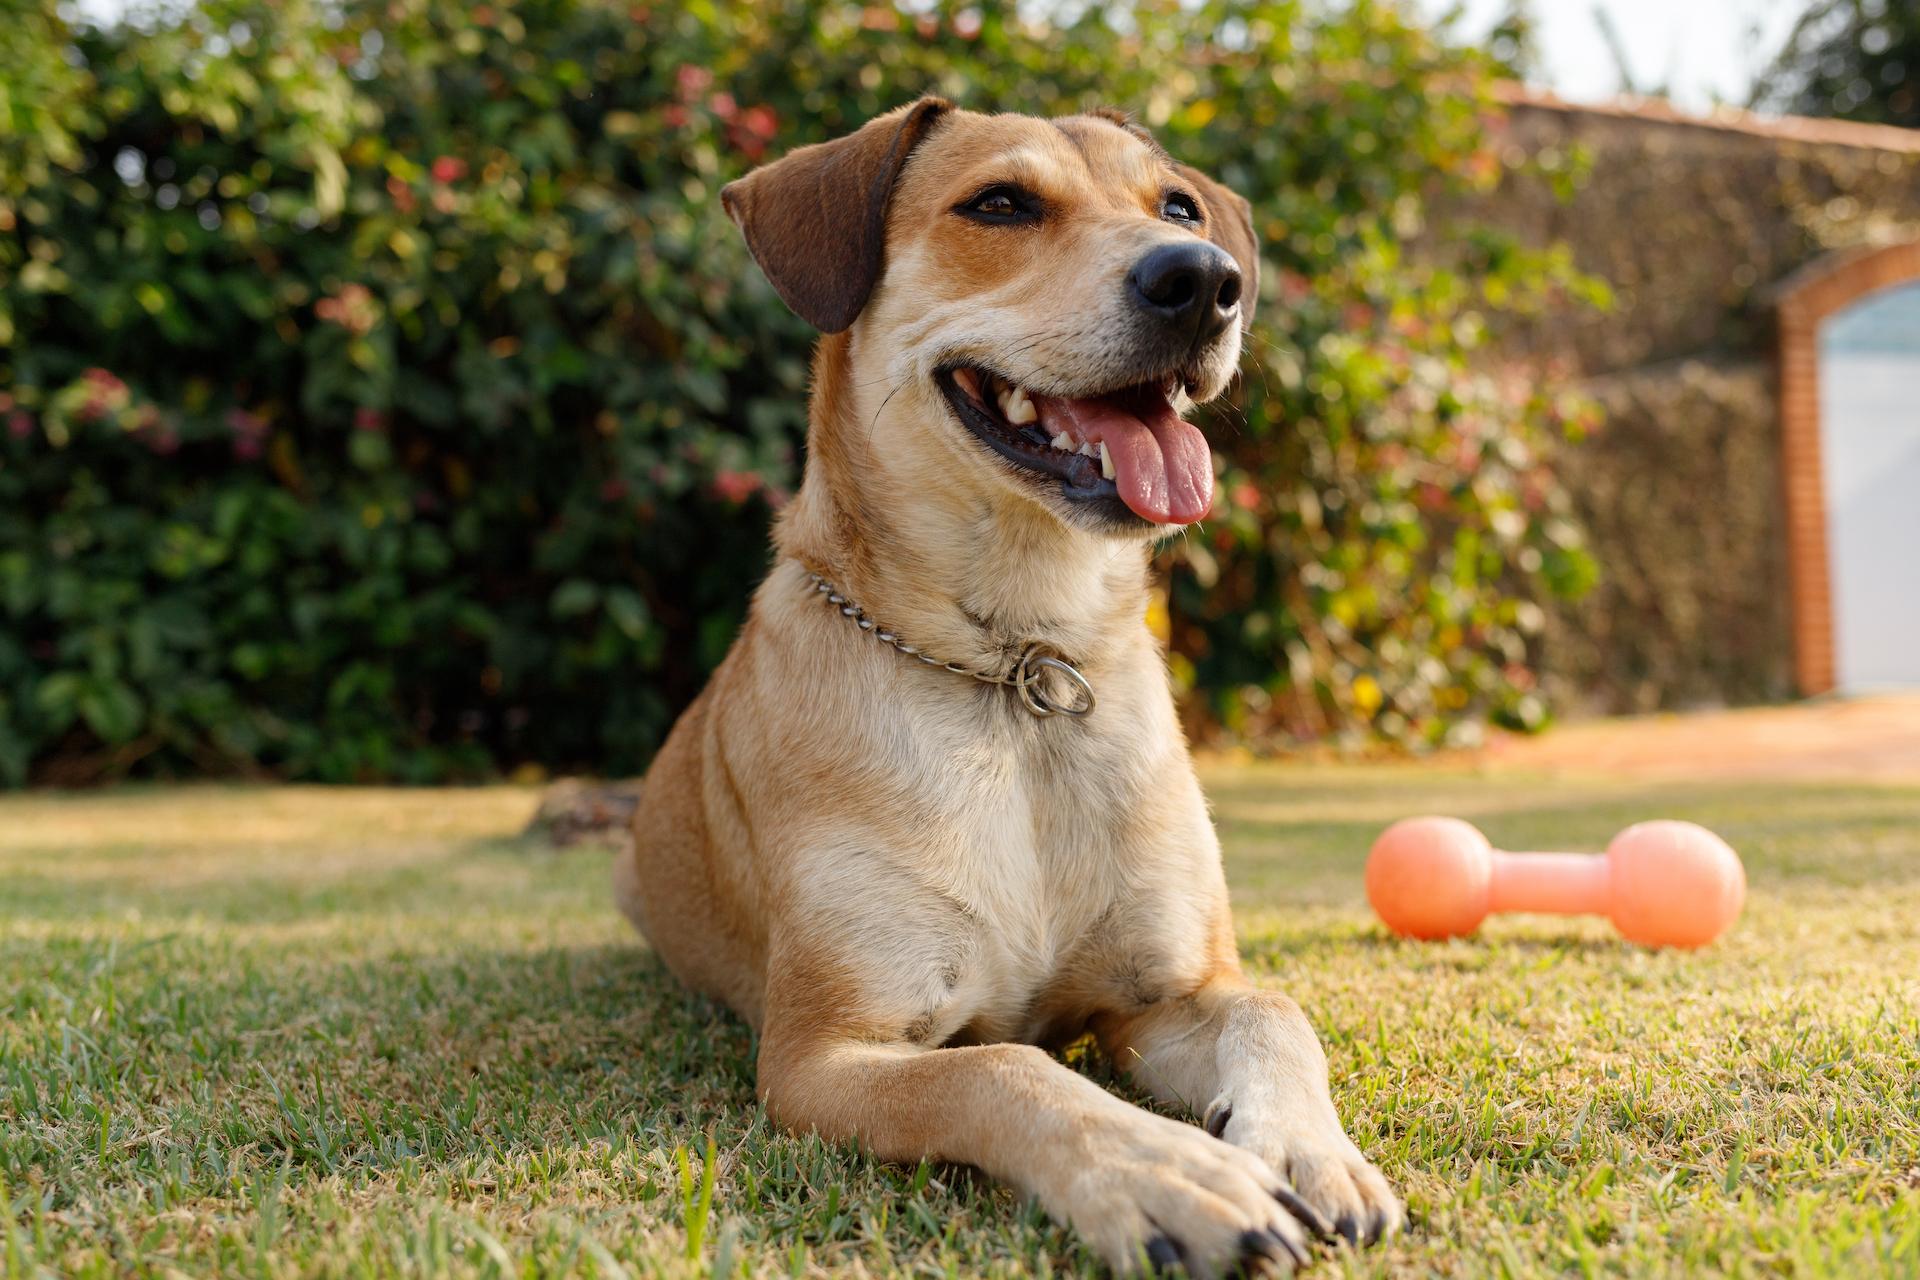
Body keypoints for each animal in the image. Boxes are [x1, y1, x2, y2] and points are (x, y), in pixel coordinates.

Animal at [622, 100, 1405, 1274]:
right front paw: (1162, 1171)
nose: (1203, 280)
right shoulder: (822, 1056)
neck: (1021, 668)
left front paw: (1312, 1150)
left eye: (1178, 207)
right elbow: (1003, 1065)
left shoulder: (1167, 998)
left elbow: (1274, 1008)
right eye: (999, 203)